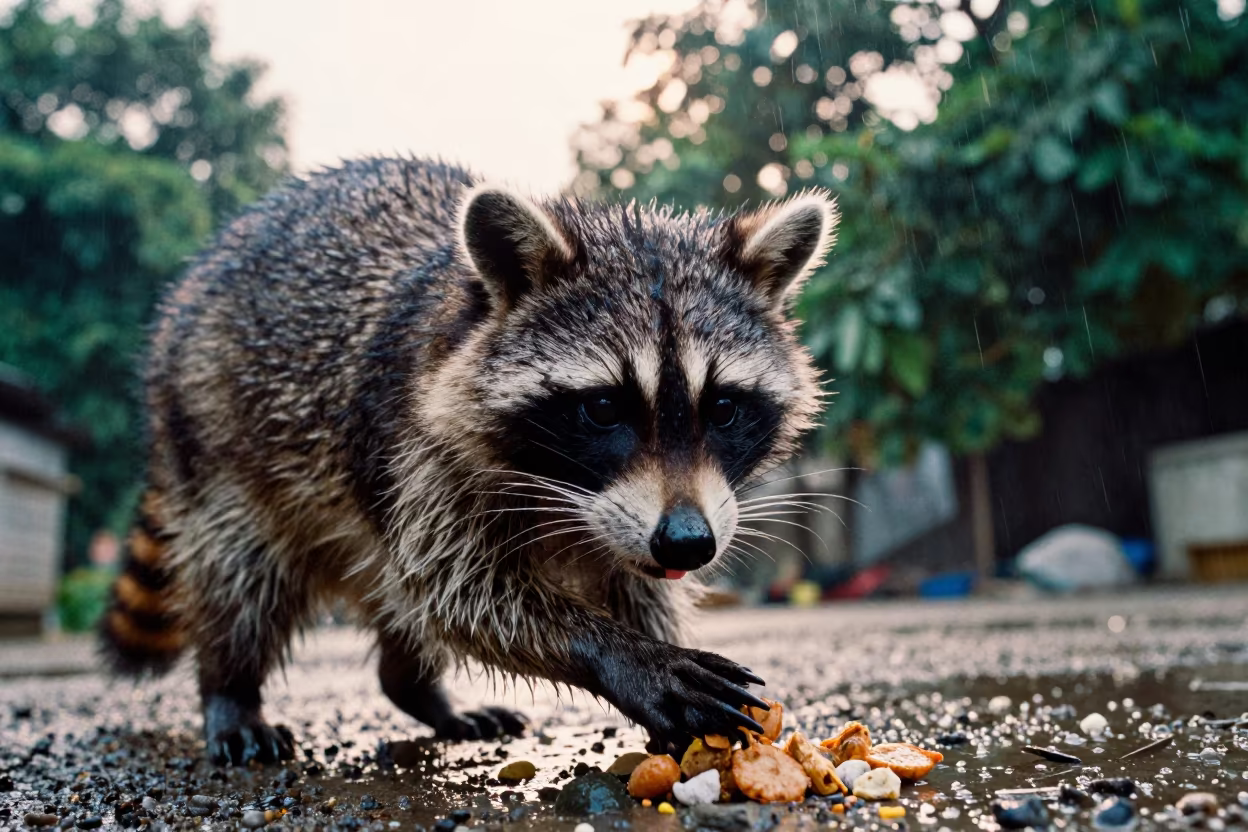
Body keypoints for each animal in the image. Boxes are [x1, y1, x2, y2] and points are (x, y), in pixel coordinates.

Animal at [100, 157, 835, 764]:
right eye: (603, 408)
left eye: (725, 408)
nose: (687, 543)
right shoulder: (414, 449)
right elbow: (458, 592)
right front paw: (627, 657)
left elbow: (631, 586)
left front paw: (653, 647)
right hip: (213, 432)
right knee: (240, 575)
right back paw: (230, 689)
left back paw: (416, 690)